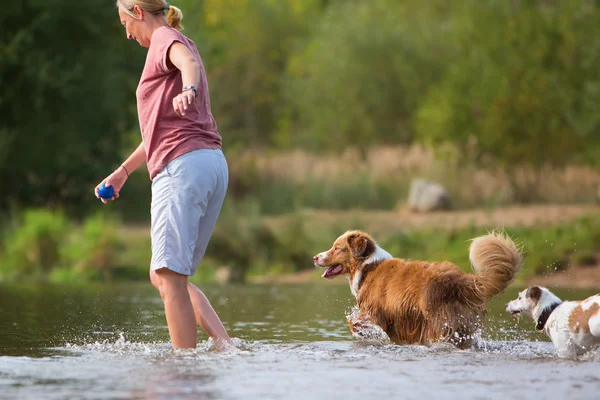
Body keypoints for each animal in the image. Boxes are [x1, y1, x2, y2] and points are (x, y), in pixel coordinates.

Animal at [314, 230, 520, 348]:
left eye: (336, 248)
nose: (315, 257)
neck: (367, 266)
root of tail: (462, 279)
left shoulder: (378, 312)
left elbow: (354, 321)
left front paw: (364, 332)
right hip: (464, 326)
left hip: (438, 324)